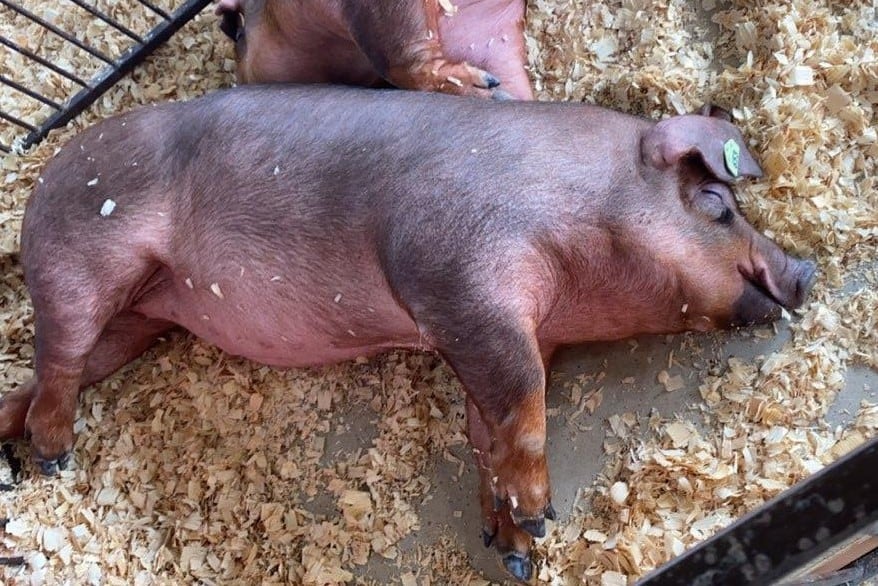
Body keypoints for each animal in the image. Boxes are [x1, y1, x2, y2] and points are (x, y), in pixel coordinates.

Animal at [0, 85, 820, 580]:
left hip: (138, 322)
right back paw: (53, 455)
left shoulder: (497, 334)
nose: (807, 270)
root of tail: (42, 175)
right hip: (83, 261)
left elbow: (488, 428)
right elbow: (523, 399)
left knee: (39, 379)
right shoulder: (455, 275)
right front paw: (540, 516)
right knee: (56, 356)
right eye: (716, 203)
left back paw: (21, 448)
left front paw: (513, 551)